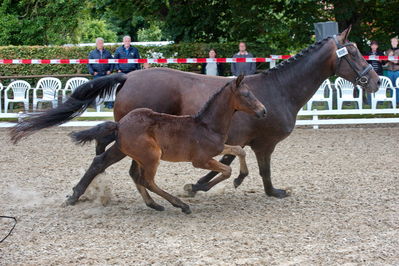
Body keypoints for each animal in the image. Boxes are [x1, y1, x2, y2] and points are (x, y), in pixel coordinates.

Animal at [70, 75, 268, 214]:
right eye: (246, 94)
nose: (263, 111)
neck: (207, 125)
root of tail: (119, 125)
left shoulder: (218, 149)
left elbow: (239, 150)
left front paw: (240, 178)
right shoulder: (200, 160)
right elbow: (227, 170)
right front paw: (198, 187)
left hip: (139, 156)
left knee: (135, 175)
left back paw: (154, 204)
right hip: (151, 156)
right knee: (146, 180)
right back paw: (181, 205)